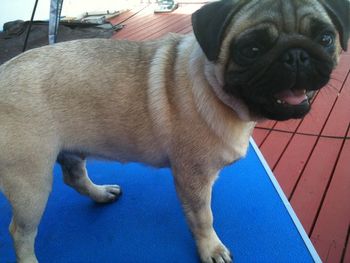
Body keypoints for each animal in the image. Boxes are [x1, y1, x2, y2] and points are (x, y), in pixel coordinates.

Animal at [0, 0, 348, 262]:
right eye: (251, 49)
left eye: (325, 39)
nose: (296, 54)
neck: (213, 86)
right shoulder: (192, 178)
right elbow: (203, 217)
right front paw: (211, 249)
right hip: (31, 183)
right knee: (20, 232)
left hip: (69, 153)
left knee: (75, 178)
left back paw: (100, 194)